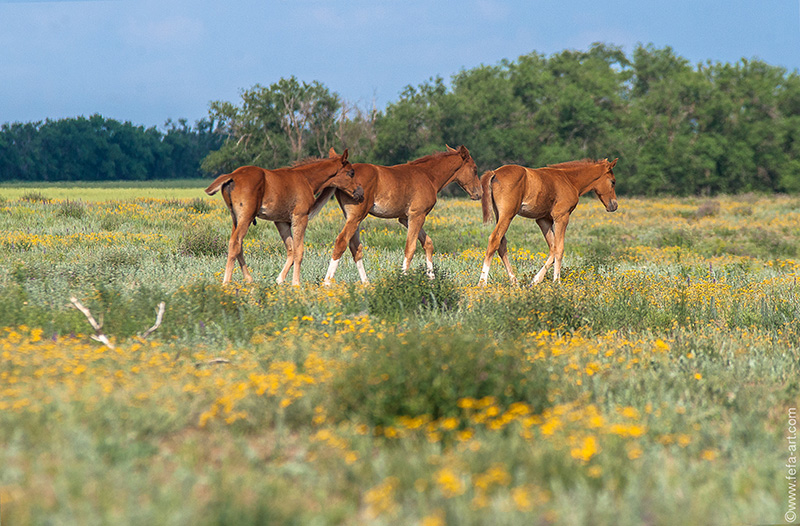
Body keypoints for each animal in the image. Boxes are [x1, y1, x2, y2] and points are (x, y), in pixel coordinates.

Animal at [203, 151, 362, 286]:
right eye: (351, 172)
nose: (360, 192)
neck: (306, 179)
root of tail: (232, 175)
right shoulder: (300, 217)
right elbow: (299, 251)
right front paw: (296, 283)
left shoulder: (281, 221)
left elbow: (291, 250)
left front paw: (280, 279)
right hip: (245, 217)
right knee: (235, 243)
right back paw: (226, 282)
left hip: (235, 218)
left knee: (238, 245)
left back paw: (249, 279)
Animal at [314, 146, 482, 284]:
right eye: (475, 169)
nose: (479, 194)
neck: (428, 176)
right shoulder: (417, 215)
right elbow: (411, 248)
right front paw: (402, 279)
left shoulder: (405, 218)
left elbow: (428, 243)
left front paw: (432, 280)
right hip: (356, 217)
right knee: (341, 242)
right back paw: (327, 283)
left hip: (353, 218)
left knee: (355, 247)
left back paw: (366, 284)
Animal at [476, 159, 620, 286]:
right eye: (613, 182)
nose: (614, 205)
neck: (569, 180)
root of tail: (495, 173)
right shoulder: (562, 217)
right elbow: (559, 249)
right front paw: (557, 281)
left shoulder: (543, 219)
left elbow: (553, 248)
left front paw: (535, 280)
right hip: (507, 215)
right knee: (494, 239)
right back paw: (482, 283)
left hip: (499, 215)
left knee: (501, 244)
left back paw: (514, 281)